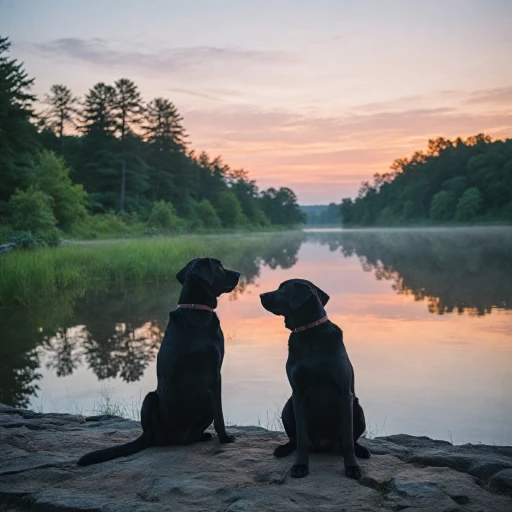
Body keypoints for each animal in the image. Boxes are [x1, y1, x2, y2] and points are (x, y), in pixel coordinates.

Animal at [78, 258, 240, 466]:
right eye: (219, 267)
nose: (238, 274)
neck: (196, 311)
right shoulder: (210, 373)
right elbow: (220, 415)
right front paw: (226, 438)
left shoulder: (214, 375)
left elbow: (219, 414)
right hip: (151, 398)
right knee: (153, 435)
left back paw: (201, 436)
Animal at [260, 278, 368, 478]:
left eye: (283, 289)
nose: (261, 295)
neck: (309, 333)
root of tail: (323, 446)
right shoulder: (298, 394)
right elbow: (301, 438)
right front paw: (300, 465)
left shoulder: (344, 394)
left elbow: (348, 441)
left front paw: (352, 467)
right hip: (287, 407)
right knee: (295, 440)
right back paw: (283, 449)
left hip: (358, 408)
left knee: (352, 440)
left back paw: (361, 450)